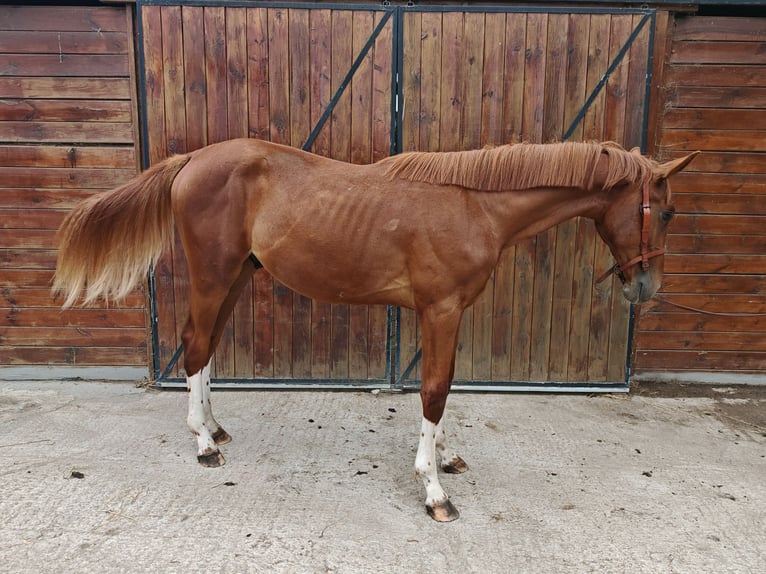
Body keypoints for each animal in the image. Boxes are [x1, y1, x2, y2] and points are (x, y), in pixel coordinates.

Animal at [54, 138, 698, 522]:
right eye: (665, 211)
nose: (645, 288)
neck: (476, 205)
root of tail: (192, 160)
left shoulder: (448, 312)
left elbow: (445, 388)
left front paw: (446, 457)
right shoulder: (441, 309)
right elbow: (435, 389)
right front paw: (434, 490)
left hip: (236, 275)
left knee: (204, 347)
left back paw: (215, 428)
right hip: (215, 274)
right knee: (192, 348)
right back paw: (204, 444)